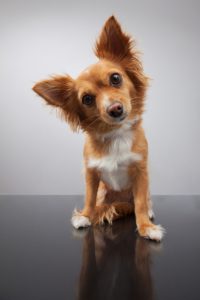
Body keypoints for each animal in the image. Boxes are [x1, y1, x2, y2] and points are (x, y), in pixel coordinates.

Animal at [32, 15, 164, 241]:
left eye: (116, 78)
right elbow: (90, 198)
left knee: (142, 201)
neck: (115, 134)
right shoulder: (91, 173)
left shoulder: (140, 172)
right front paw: (85, 216)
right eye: (87, 99)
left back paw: (148, 211)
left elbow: (139, 204)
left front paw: (146, 227)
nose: (115, 109)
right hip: (105, 190)